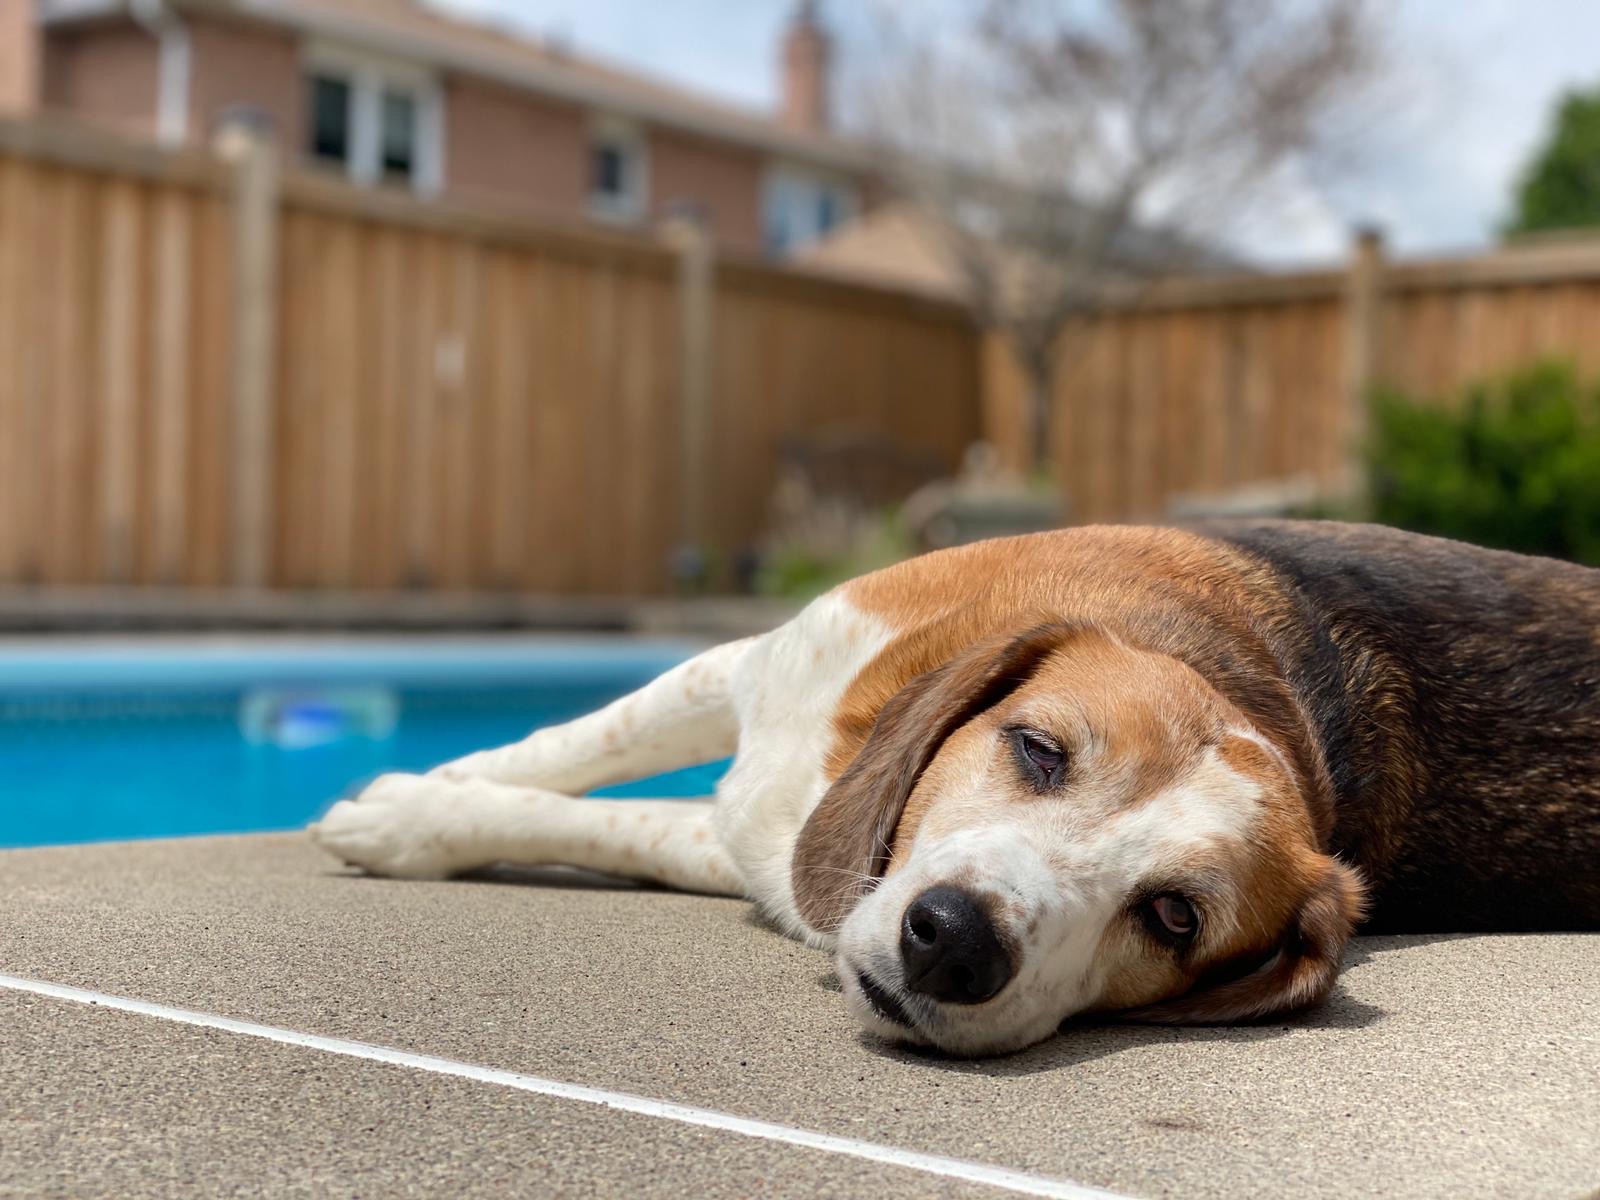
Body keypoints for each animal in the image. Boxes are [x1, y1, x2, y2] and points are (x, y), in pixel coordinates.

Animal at [313, 521, 1600, 1056]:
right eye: (1037, 751)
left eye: (1173, 918)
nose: (956, 943)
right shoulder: (759, 671)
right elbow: (570, 747)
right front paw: (421, 792)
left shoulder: (768, 844)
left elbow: (603, 819)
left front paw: (414, 811)